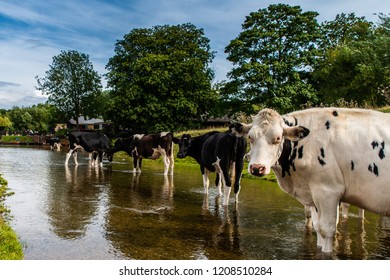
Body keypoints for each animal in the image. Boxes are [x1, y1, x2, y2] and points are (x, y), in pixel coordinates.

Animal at [244, 107, 390, 254]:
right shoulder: (313, 195)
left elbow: (327, 230)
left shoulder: (328, 192)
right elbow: (317, 227)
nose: (257, 168)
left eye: (278, 138)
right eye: (250, 137)